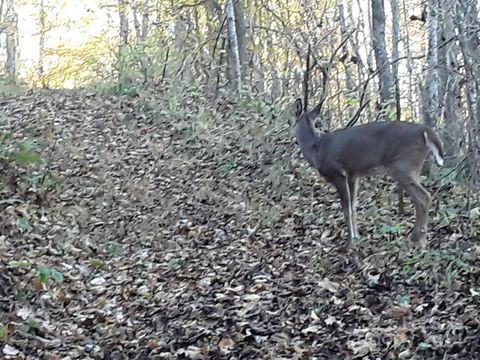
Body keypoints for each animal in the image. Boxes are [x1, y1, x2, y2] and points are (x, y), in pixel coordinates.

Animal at [294, 98, 444, 248]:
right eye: (318, 122)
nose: (322, 127)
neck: (316, 151)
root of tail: (426, 131)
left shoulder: (338, 174)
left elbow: (346, 209)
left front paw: (349, 244)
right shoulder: (353, 176)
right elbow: (353, 206)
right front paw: (357, 237)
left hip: (402, 166)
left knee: (424, 197)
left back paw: (421, 242)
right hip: (413, 168)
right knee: (419, 199)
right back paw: (415, 238)